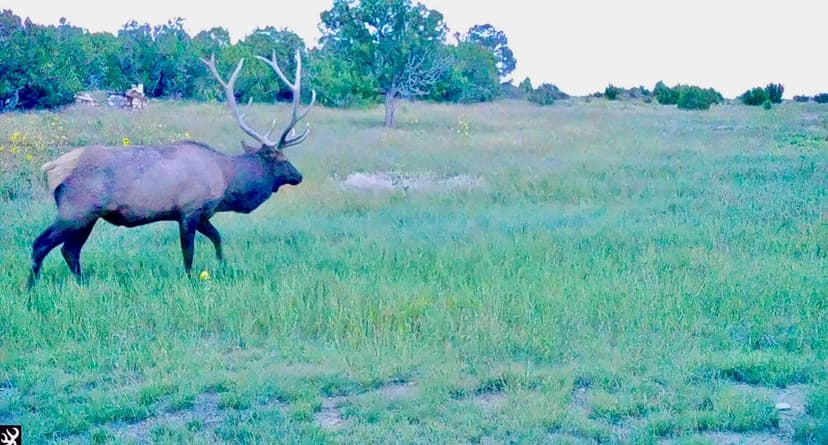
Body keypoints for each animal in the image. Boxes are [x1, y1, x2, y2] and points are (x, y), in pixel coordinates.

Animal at [27, 49, 315, 288]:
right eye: (280, 158)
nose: (299, 176)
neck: (226, 181)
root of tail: (49, 168)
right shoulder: (189, 210)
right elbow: (188, 252)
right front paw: (190, 279)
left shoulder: (203, 214)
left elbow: (217, 238)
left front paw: (222, 265)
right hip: (76, 209)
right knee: (41, 244)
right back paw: (31, 288)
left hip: (88, 216)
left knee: (70, 250)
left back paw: (82, 283)